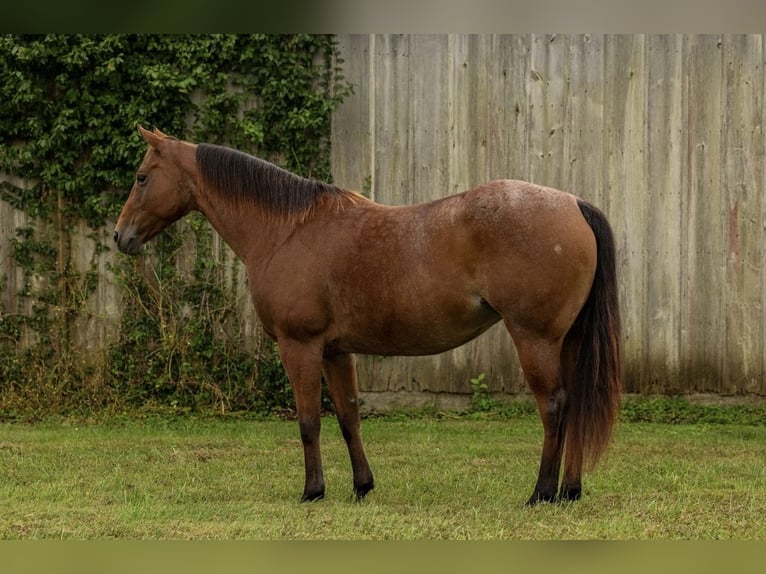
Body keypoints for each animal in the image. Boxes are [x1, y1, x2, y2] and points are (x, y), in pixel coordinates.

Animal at [114, 126, 621, 505]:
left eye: (141, 177)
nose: (121, 236)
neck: (287, 231)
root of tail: (573, 204)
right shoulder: (336, 352)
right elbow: (348, 417)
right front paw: (361, 486)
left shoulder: (300, 347)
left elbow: (308, 421)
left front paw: (313, 491)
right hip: (567, 341)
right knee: (575, 404)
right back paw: (570, 491)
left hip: (534, 338)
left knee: (554, 406)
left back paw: (542, 493)